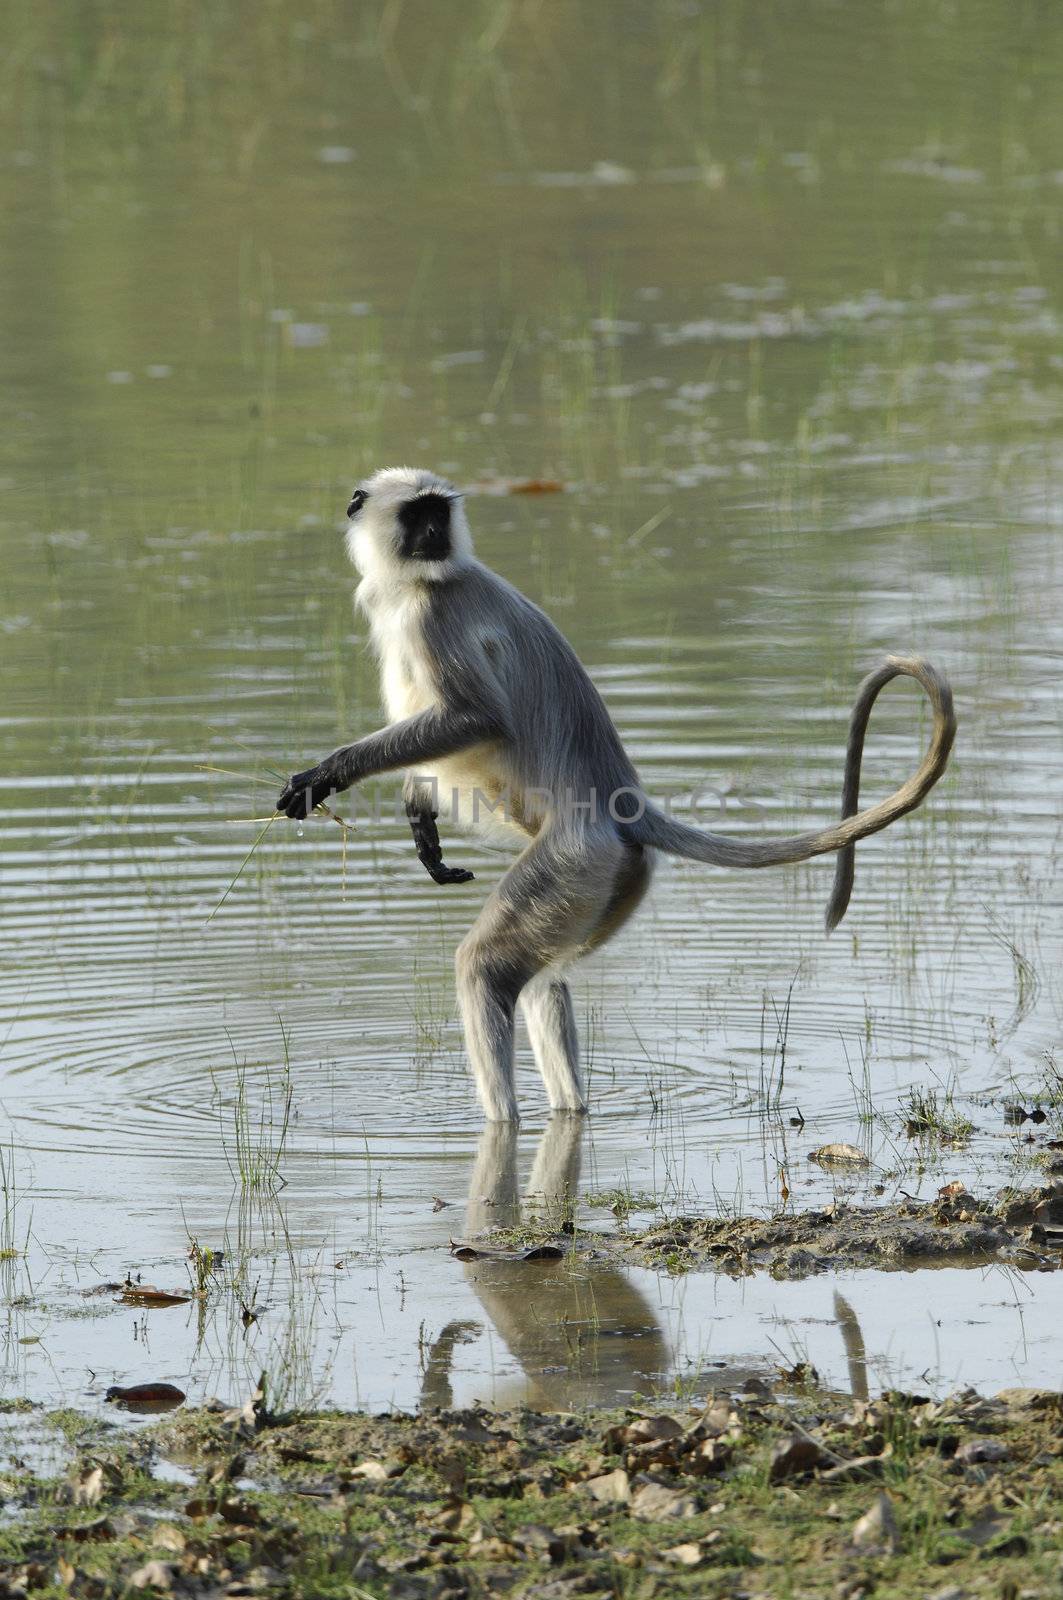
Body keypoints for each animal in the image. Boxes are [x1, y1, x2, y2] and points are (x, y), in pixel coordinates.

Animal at [278, 467, 960, 1126]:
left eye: (436, 513)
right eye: (417, 515)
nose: (433, 537)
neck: (421, 581)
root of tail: (620, 800)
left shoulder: (431, 615)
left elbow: (477, 718)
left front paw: (327, 773)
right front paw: (422, 828)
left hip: (575, 858)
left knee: (485, 968)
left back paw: (500, 1122)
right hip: (605, 879)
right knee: (544, 979)